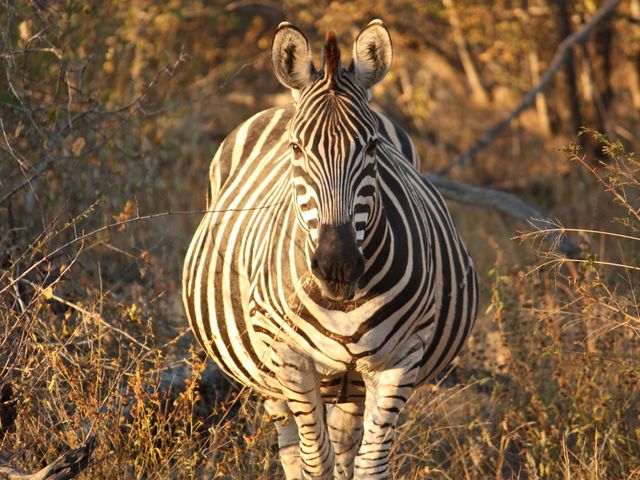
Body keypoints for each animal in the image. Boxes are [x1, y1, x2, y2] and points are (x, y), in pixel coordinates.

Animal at [182, 19, 478, 480]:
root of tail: (281, 103)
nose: (337, 264)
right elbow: (312, 462)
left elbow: (368, 465)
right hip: (268, 375)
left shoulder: (401, 359)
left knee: (343, 443)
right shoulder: (290, 359)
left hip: (351, 384)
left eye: (372, 146)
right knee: (291, 447)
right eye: (296, 148)